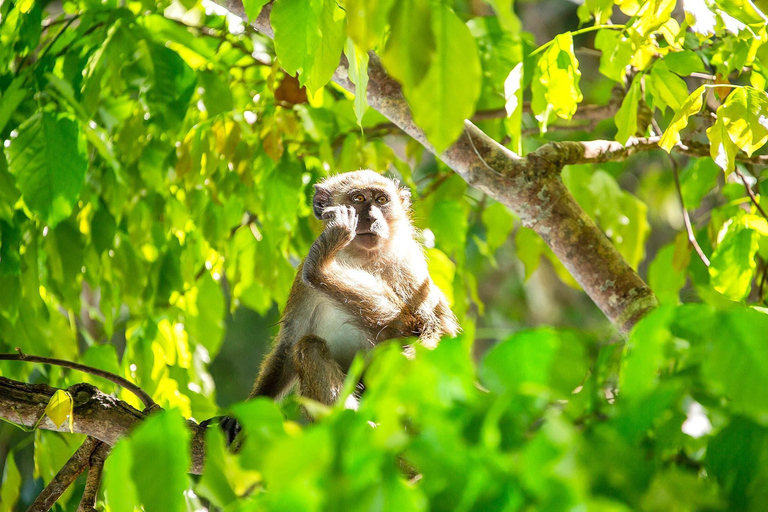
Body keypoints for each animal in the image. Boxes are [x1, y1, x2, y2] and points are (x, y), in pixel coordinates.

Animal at [219, 170, 460, 442]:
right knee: (308, 347)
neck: (360, 258)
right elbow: (290, 344)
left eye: (381, 200)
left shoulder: (409, 266)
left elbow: (435, 329)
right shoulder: (300, 282)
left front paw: (321, 266)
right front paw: (240, 416)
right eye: (358, 198)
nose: (372, 217)